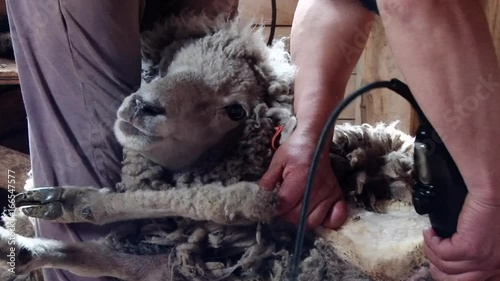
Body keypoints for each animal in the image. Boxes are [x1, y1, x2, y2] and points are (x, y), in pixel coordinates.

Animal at [0, 12, 430, 280]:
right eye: (166, 66)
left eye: (235, 110)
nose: (142, 106)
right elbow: (113, 260)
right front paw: (26, 249)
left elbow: (220, 200)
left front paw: (72, 201)